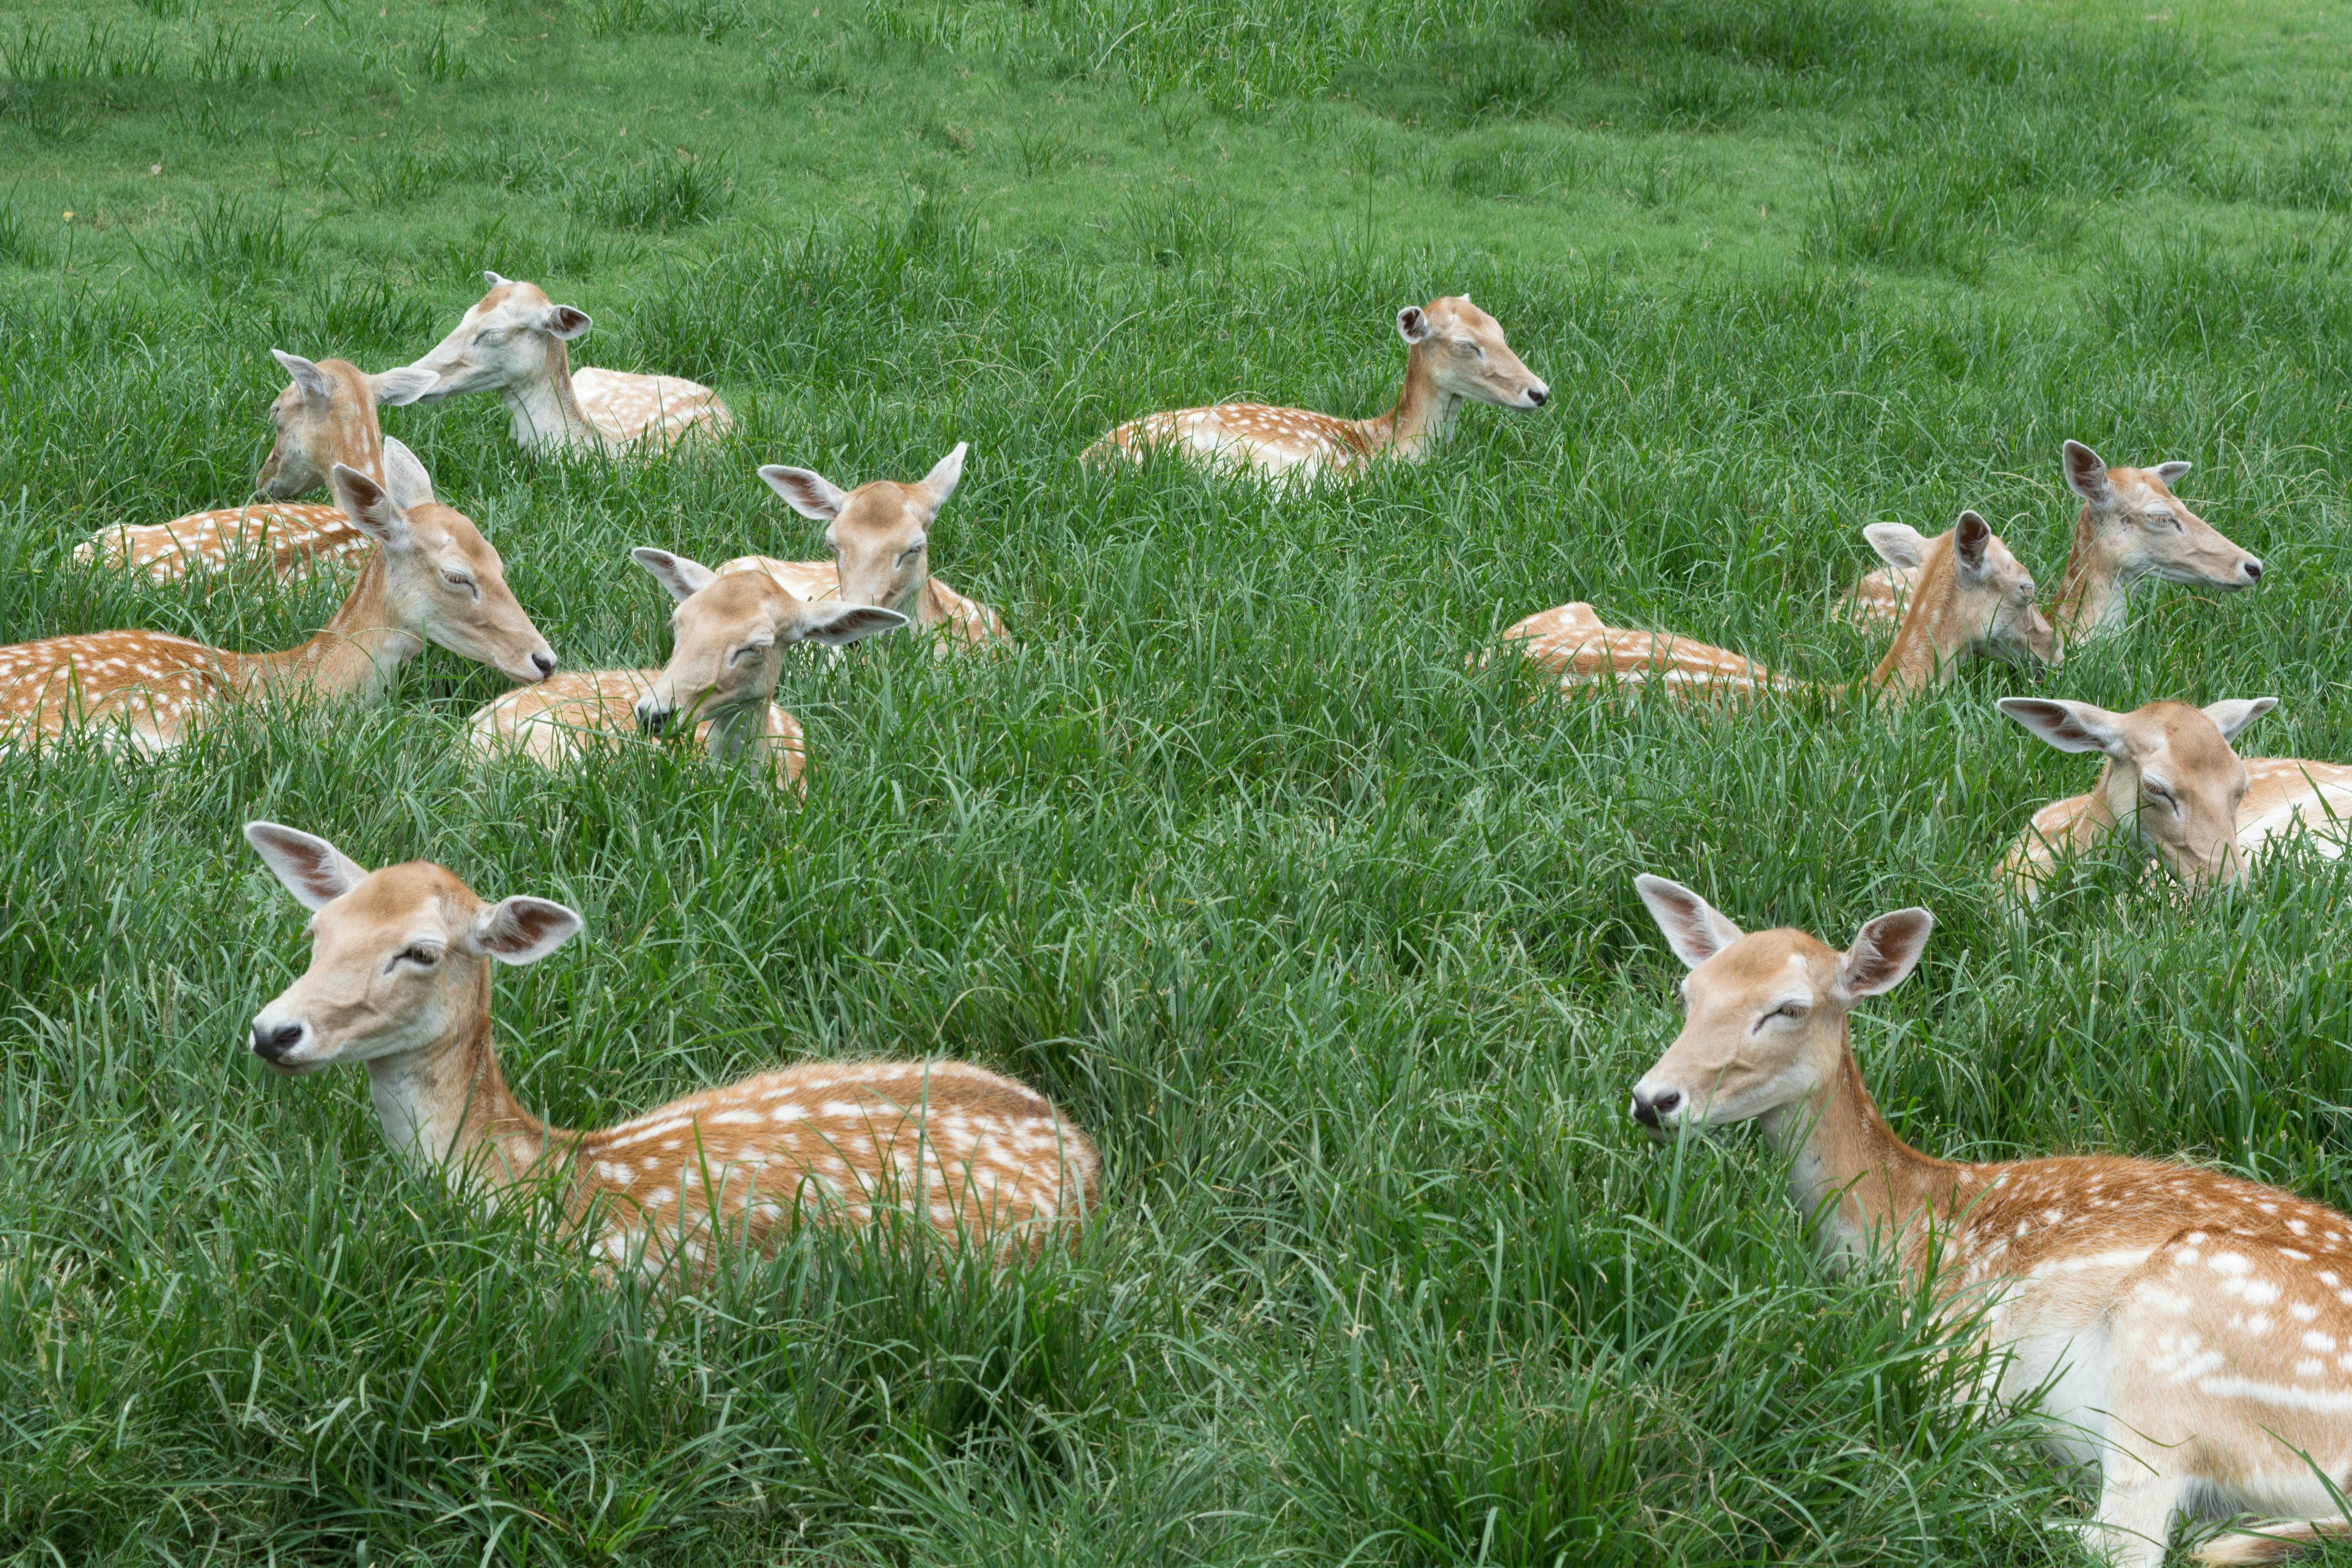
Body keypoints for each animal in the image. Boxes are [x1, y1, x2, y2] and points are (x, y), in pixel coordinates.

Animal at [1629, 872, 2352, 1566]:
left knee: (2124, 1540)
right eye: (1688, 994)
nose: (1652, 1099)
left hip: (2173, 1351)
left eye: (1788, 1008)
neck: (1903, 1221)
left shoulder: (1958, 1359)